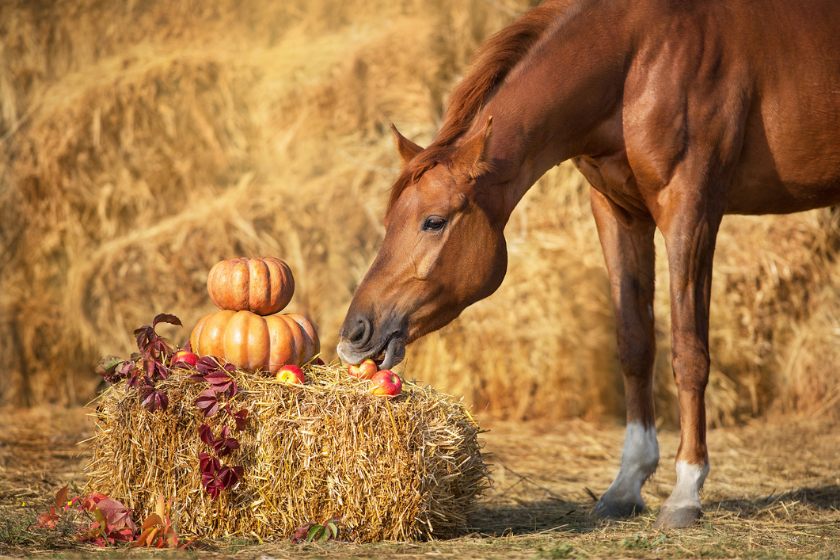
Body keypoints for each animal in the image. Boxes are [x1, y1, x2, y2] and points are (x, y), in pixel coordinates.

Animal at [334, 0, 840, 528]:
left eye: (433, 222)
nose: (354, 335)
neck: (643, 59)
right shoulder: (618, 212)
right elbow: (635, 345)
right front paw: (627, 484)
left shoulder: (690, 210)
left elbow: (688, 351)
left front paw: (685, 491)